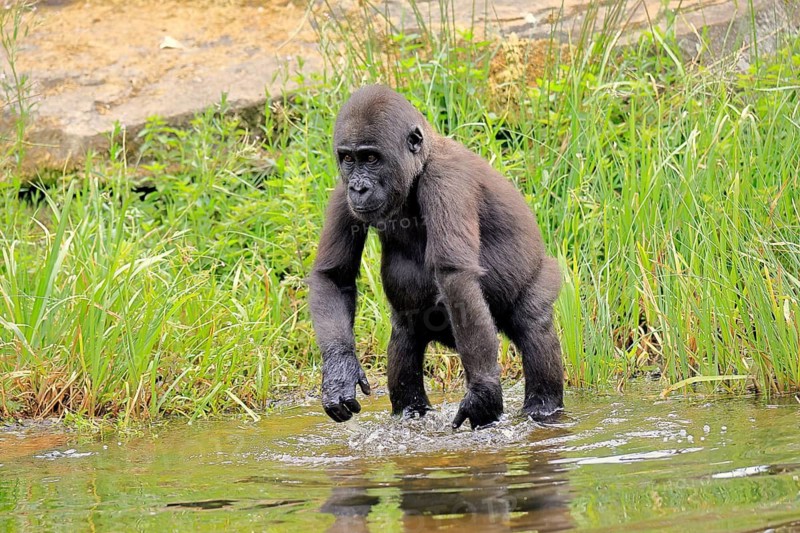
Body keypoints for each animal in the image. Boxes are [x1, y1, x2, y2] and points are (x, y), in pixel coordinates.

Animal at [308, 85, 564, 430]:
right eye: (348, 158)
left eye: (371, 158)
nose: (358, 188)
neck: (422, 162)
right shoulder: (340, 190)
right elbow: (334, 276)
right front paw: (340, 370)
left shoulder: (446, 180)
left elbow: (455, 275)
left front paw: (482, 394)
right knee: (405, 335)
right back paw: (411, 411)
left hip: (544, 274)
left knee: (533, 322)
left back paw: (544, 408)